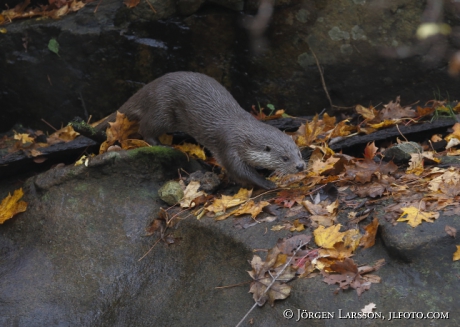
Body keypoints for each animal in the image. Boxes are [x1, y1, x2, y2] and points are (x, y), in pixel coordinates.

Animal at [97, 72, 306, 190]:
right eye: (284, 158)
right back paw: (164, 145)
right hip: (162, 109)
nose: (300, 166)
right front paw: (267, 183)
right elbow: (240, 172)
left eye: (298, 153)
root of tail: (150, 87)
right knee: (145, 128)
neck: (242, 130)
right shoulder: (229, 148)